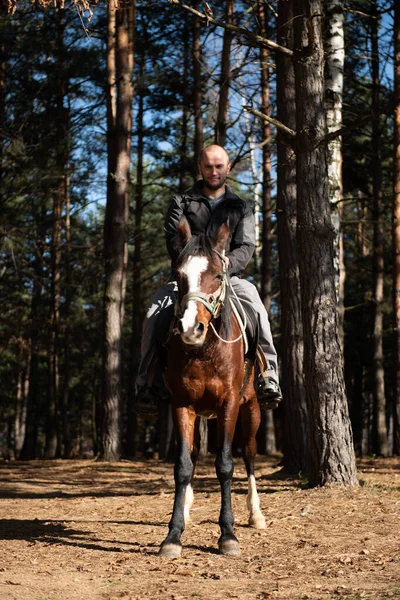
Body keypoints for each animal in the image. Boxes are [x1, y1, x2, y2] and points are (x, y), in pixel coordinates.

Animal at [159, 216, 266, 556]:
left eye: (218, 274)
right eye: (179, 275)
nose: (190, 328)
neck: (205, 349)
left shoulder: (229, 404)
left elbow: (225, 465)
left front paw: (228, 534)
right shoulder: (182, 404)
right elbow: (183, 466)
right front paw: (173, 534)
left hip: (252, 409)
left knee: (249, 455)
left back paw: (256, 514)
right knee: (192, 455)